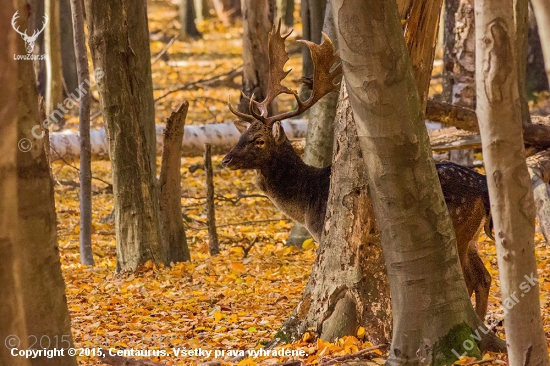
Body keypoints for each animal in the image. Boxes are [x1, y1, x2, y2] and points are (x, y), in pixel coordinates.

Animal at [224, 21, 496, 318]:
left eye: (258, 140)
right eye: (242, 134)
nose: (226, 160)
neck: (306, 202)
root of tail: (483, 188)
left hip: (458, 226)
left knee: (471, 279)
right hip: (472, 234)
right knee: (484, 278)